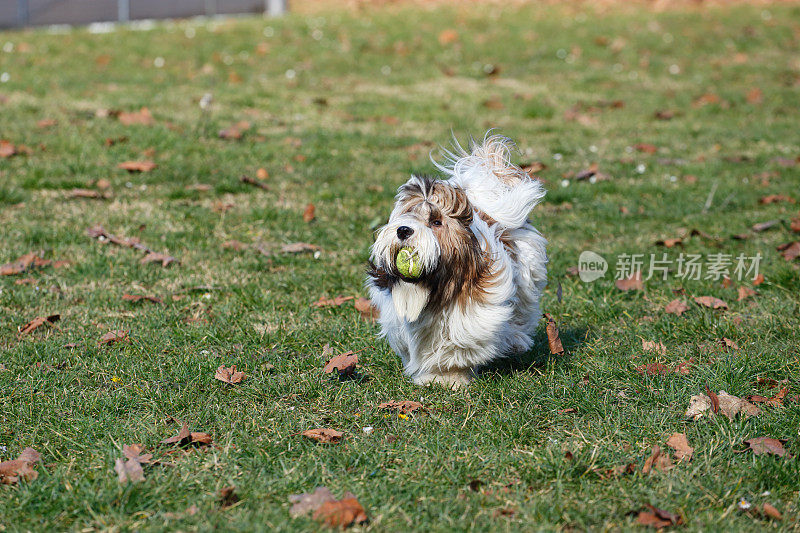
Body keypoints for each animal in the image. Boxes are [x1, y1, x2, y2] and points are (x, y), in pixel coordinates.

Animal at [368, 134, 552, 386]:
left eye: (436, 222)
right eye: (407, 216)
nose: (403, 230)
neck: (435, 284)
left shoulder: (474, 313)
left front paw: (451, 377)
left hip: (528, 274)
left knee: (523, 311)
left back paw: (516, 340)